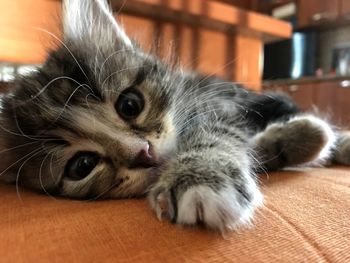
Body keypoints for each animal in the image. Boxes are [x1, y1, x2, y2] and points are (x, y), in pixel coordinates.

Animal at [0, 0, 350, 232]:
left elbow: (216, 134)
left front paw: (200, 176)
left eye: (130, 104)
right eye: (82, 165)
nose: (143, 153)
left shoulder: (215, 105)